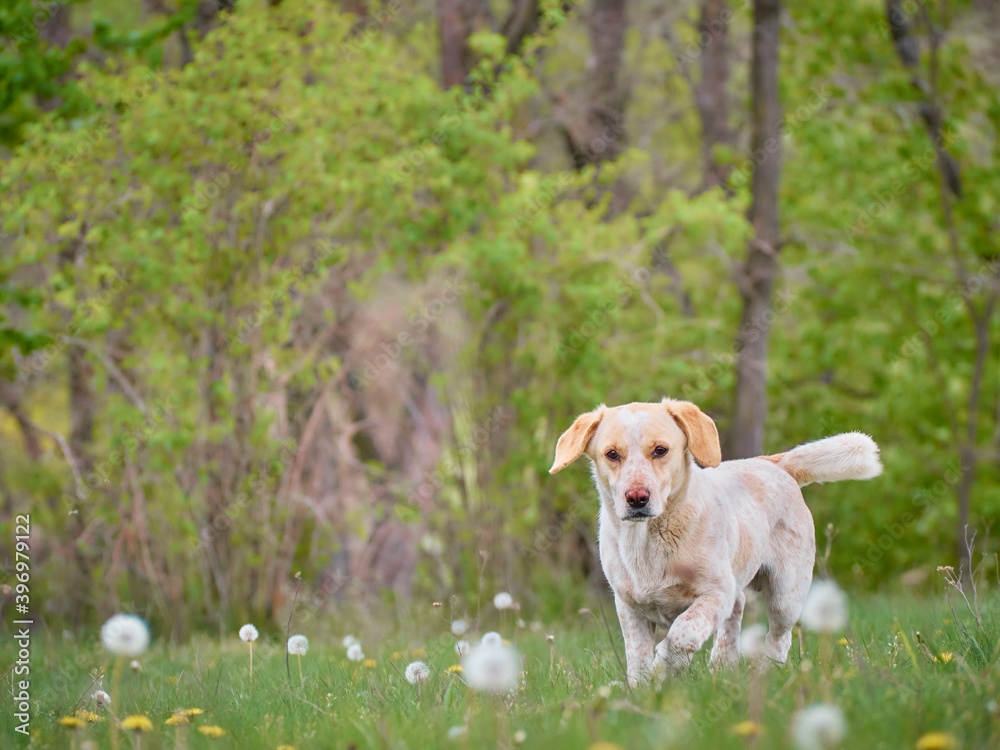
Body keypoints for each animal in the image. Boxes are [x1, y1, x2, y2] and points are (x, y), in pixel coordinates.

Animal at [548, 400, 884, 688]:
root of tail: (773, 463)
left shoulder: (715, 593)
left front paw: (664, 667)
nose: (637, 498)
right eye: (612, 454)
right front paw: (643, 689)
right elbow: (637, 657)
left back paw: (765, 673)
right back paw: (722, 665)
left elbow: (682, 632)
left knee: (779, 637)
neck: (649, 541)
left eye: (660, 450)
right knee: (738, 612)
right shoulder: (629, 606)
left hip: (786, 594)